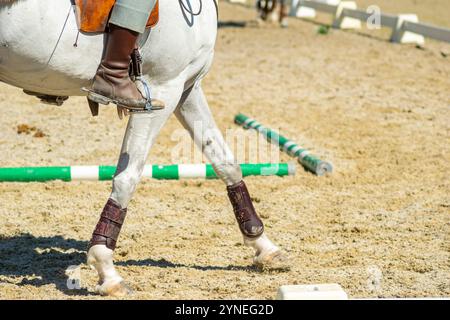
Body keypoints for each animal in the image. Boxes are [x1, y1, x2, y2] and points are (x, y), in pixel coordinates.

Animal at [0, 0, 288, 298]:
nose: (268, 18)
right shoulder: (163, 89)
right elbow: (127, 179)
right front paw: (106, 270)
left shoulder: (187, 87)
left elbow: (225, 162)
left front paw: (263, 244)